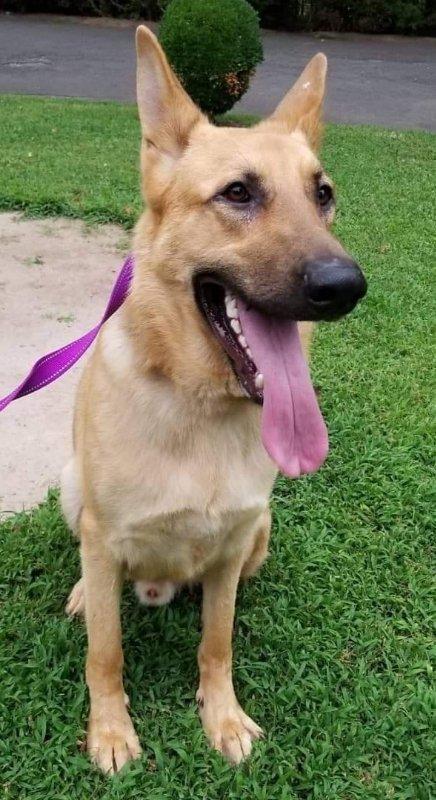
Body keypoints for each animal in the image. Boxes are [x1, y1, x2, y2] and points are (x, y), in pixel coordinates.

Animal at [60, 25, 366, 773]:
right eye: (237, 193)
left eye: (323, 194)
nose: (345, 285)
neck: (197, 402)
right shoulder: (105, 539)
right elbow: (105, 654)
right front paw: (110, 731)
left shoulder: (230, 551)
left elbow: (217, 643)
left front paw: (220, 716)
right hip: (72, 490)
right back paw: (85, 592)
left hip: (261, 532)